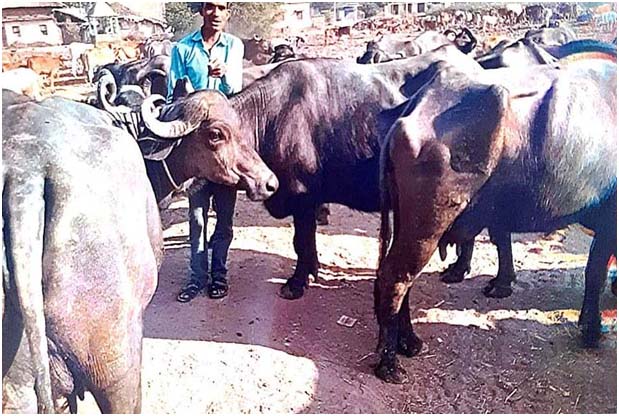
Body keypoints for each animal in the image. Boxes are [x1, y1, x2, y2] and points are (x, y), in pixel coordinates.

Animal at [375, 59, 616, 384]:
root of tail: (412, 110)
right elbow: (595, 274)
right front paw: (592, 331)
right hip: (427, 226)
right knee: (396, 277)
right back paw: (389, 363)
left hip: (406, 220)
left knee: (402, 276)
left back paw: (409, 341)